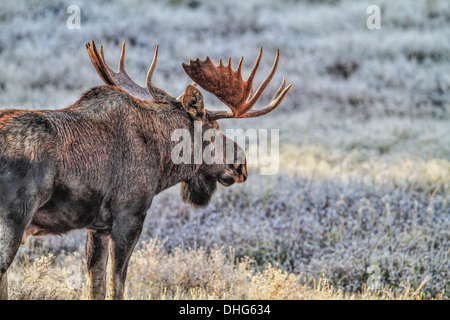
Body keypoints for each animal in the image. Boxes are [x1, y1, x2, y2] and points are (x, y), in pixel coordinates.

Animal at [0, 40, 292, 300]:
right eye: (212, 129)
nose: (241, 164)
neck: (162, 158)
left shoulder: (98, 227)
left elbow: (96, 287)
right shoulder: (130, 216)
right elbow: (117, 286)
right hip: (14, 220)